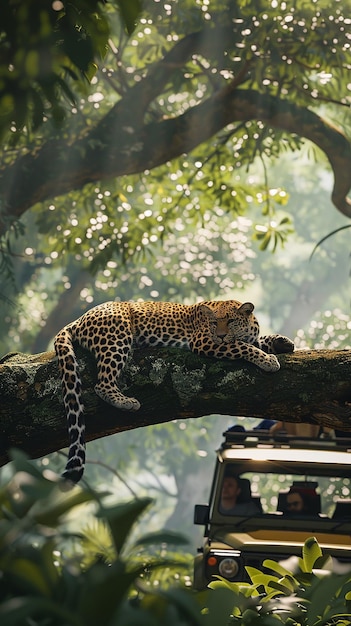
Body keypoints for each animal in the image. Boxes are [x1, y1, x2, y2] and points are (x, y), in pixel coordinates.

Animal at [53, 300, 294, 480]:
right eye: (214, 323)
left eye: (231, 321)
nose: (221, 335)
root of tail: (79, 318)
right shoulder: (204, 341)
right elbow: (243, 347)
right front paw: (268, 360)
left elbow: (257, 341)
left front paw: (283, 342)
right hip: (117, 334)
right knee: (102, 383)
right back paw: (126, 402)